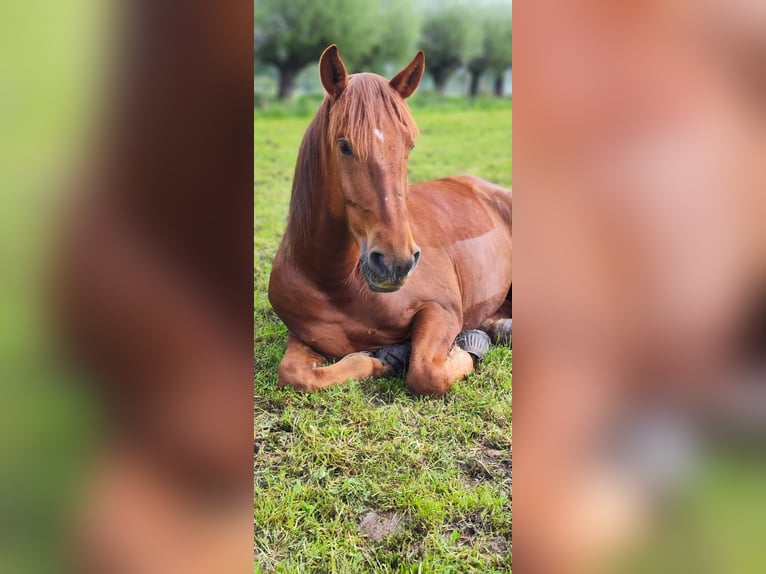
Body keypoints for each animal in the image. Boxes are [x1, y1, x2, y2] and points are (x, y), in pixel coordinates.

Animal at [268, 45, 512, 397]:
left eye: (410, 145)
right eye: (344, 146)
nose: (396, 263)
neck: (336, 284)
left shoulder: (442, 310)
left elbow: (426, 372)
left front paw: (462, 349)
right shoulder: (301, 336)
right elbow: (293, 374)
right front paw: (381, 359)